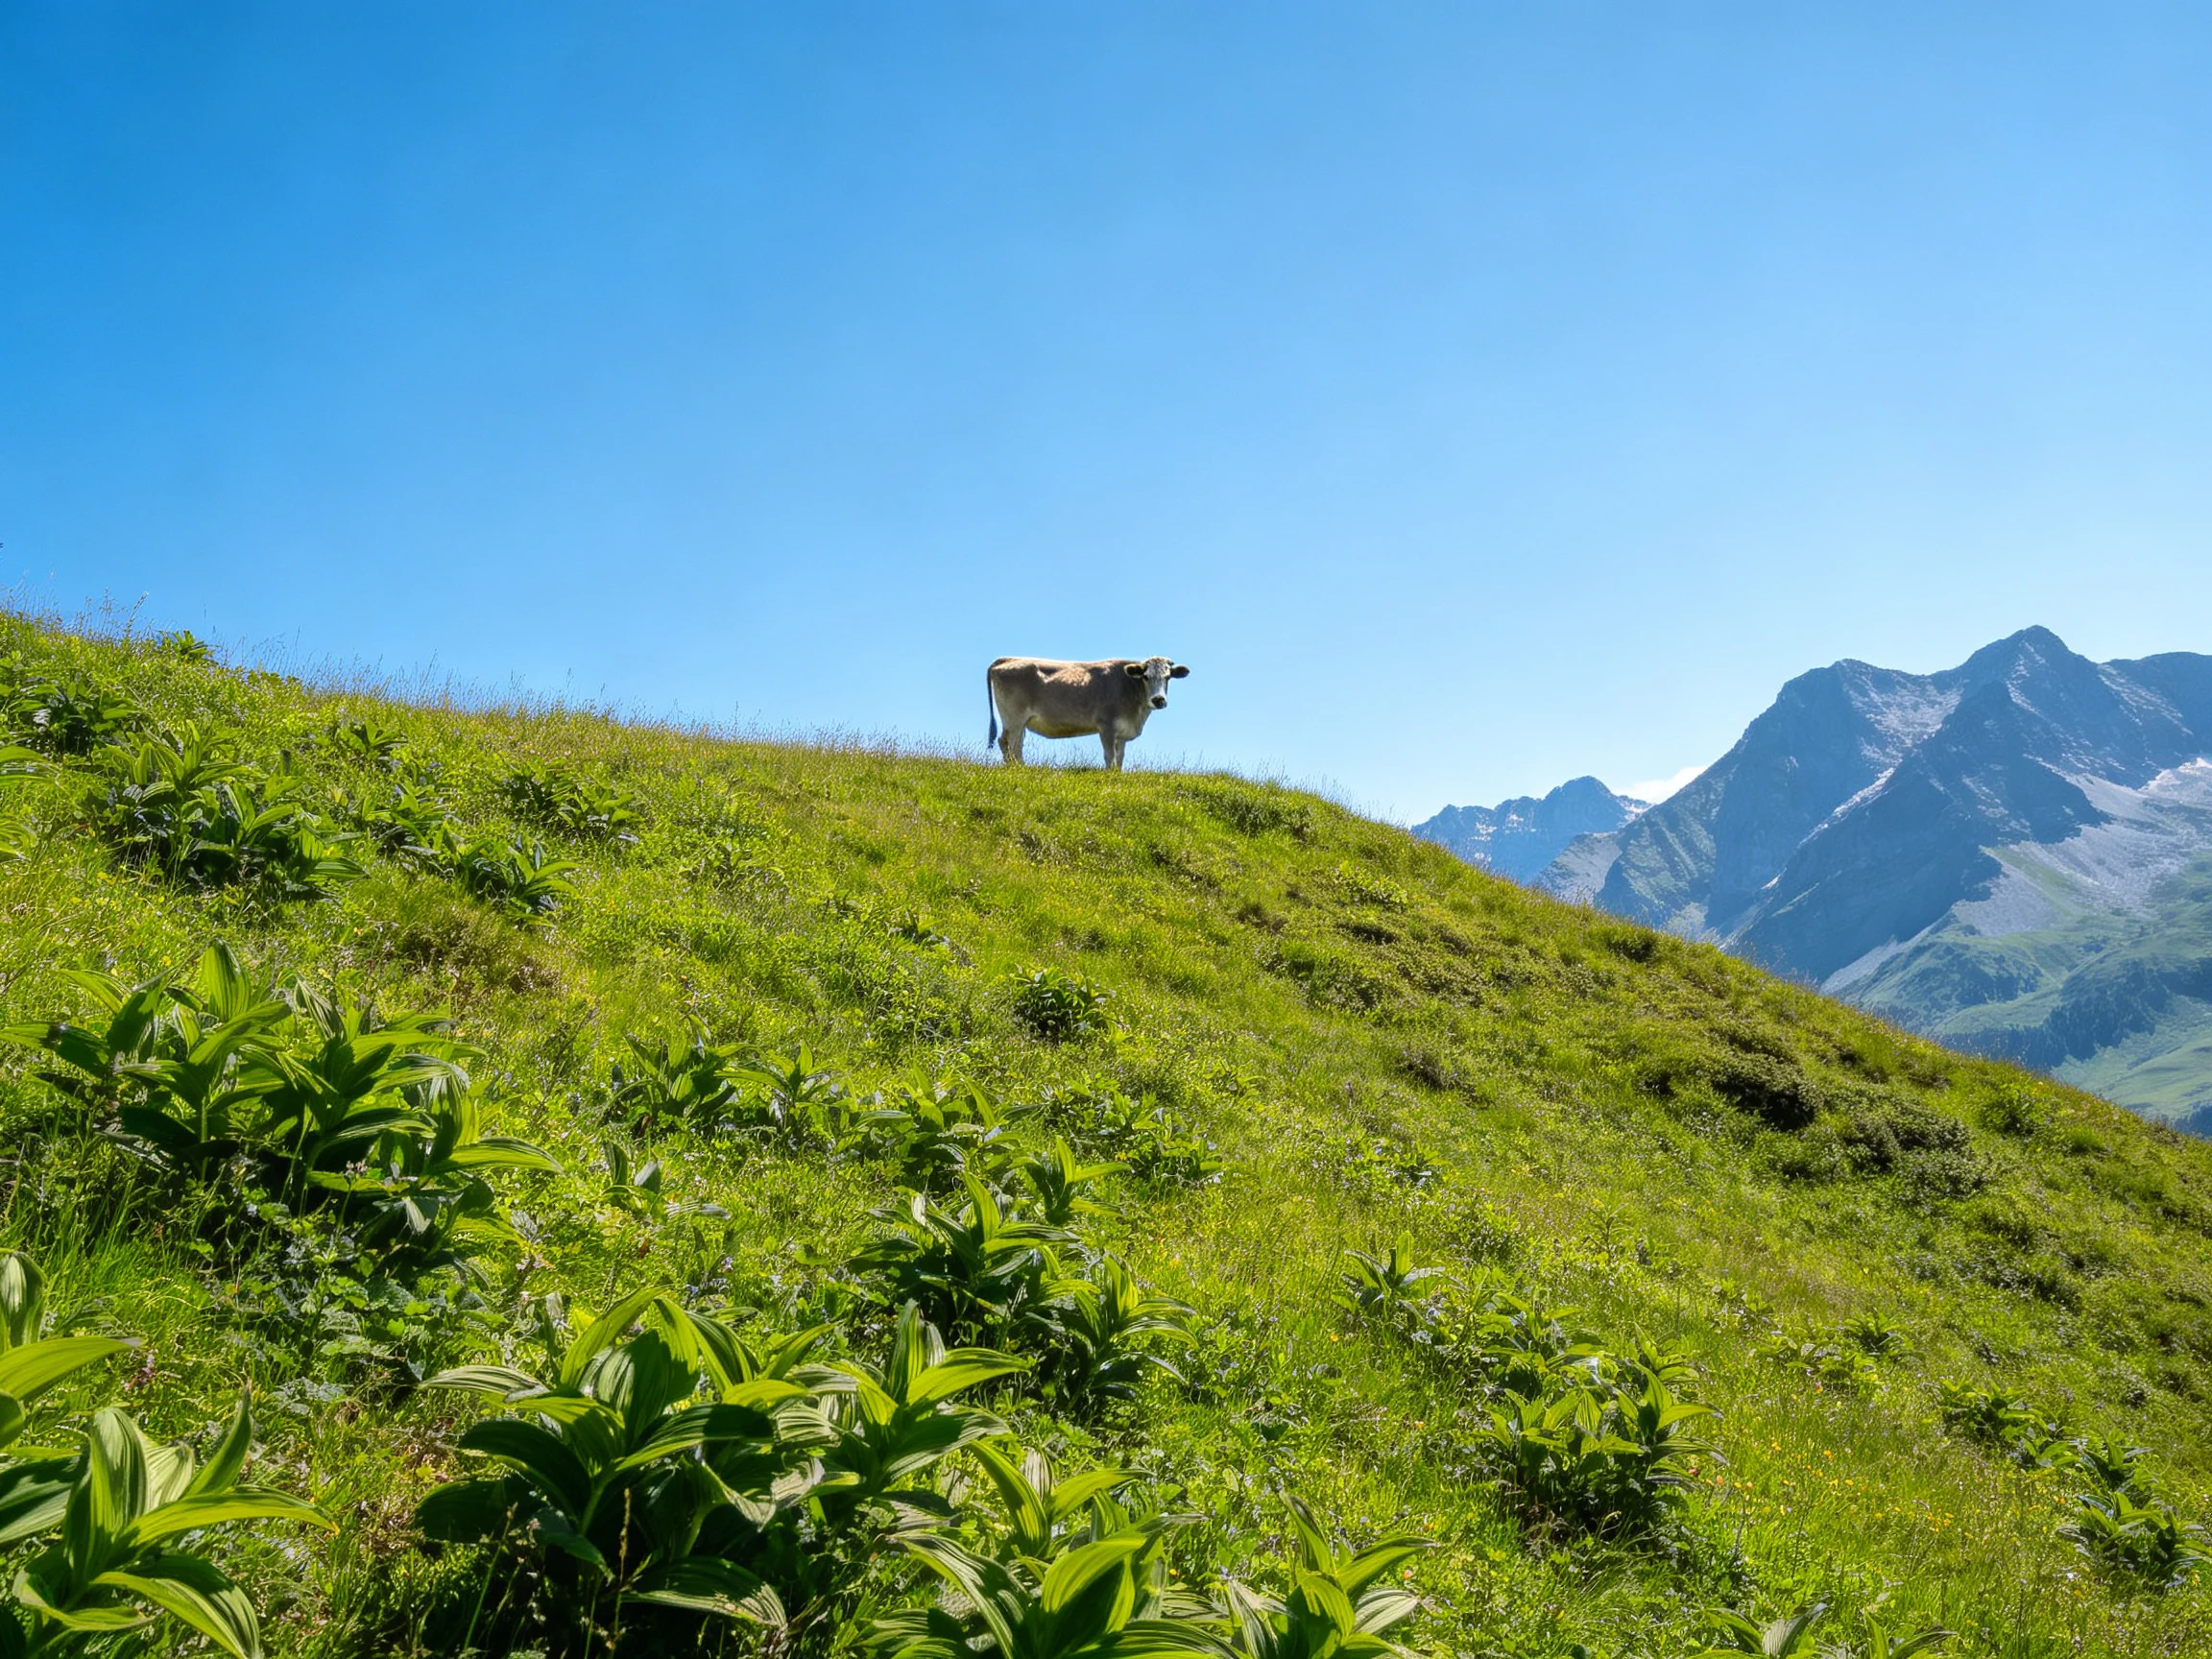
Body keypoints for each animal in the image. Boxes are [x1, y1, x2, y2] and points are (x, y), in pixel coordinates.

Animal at [986, 656, 1191, 771]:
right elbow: (1110, 757)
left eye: (1168, 677)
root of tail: (1007, 659)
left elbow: (1120, 759)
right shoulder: (1106, 727)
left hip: (1020, 722)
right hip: (1014, 718)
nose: (1158, 700)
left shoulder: (1122, 733)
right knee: (1009, 743)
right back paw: (1017, 769)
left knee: (1014, 744)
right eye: (1146, 677)